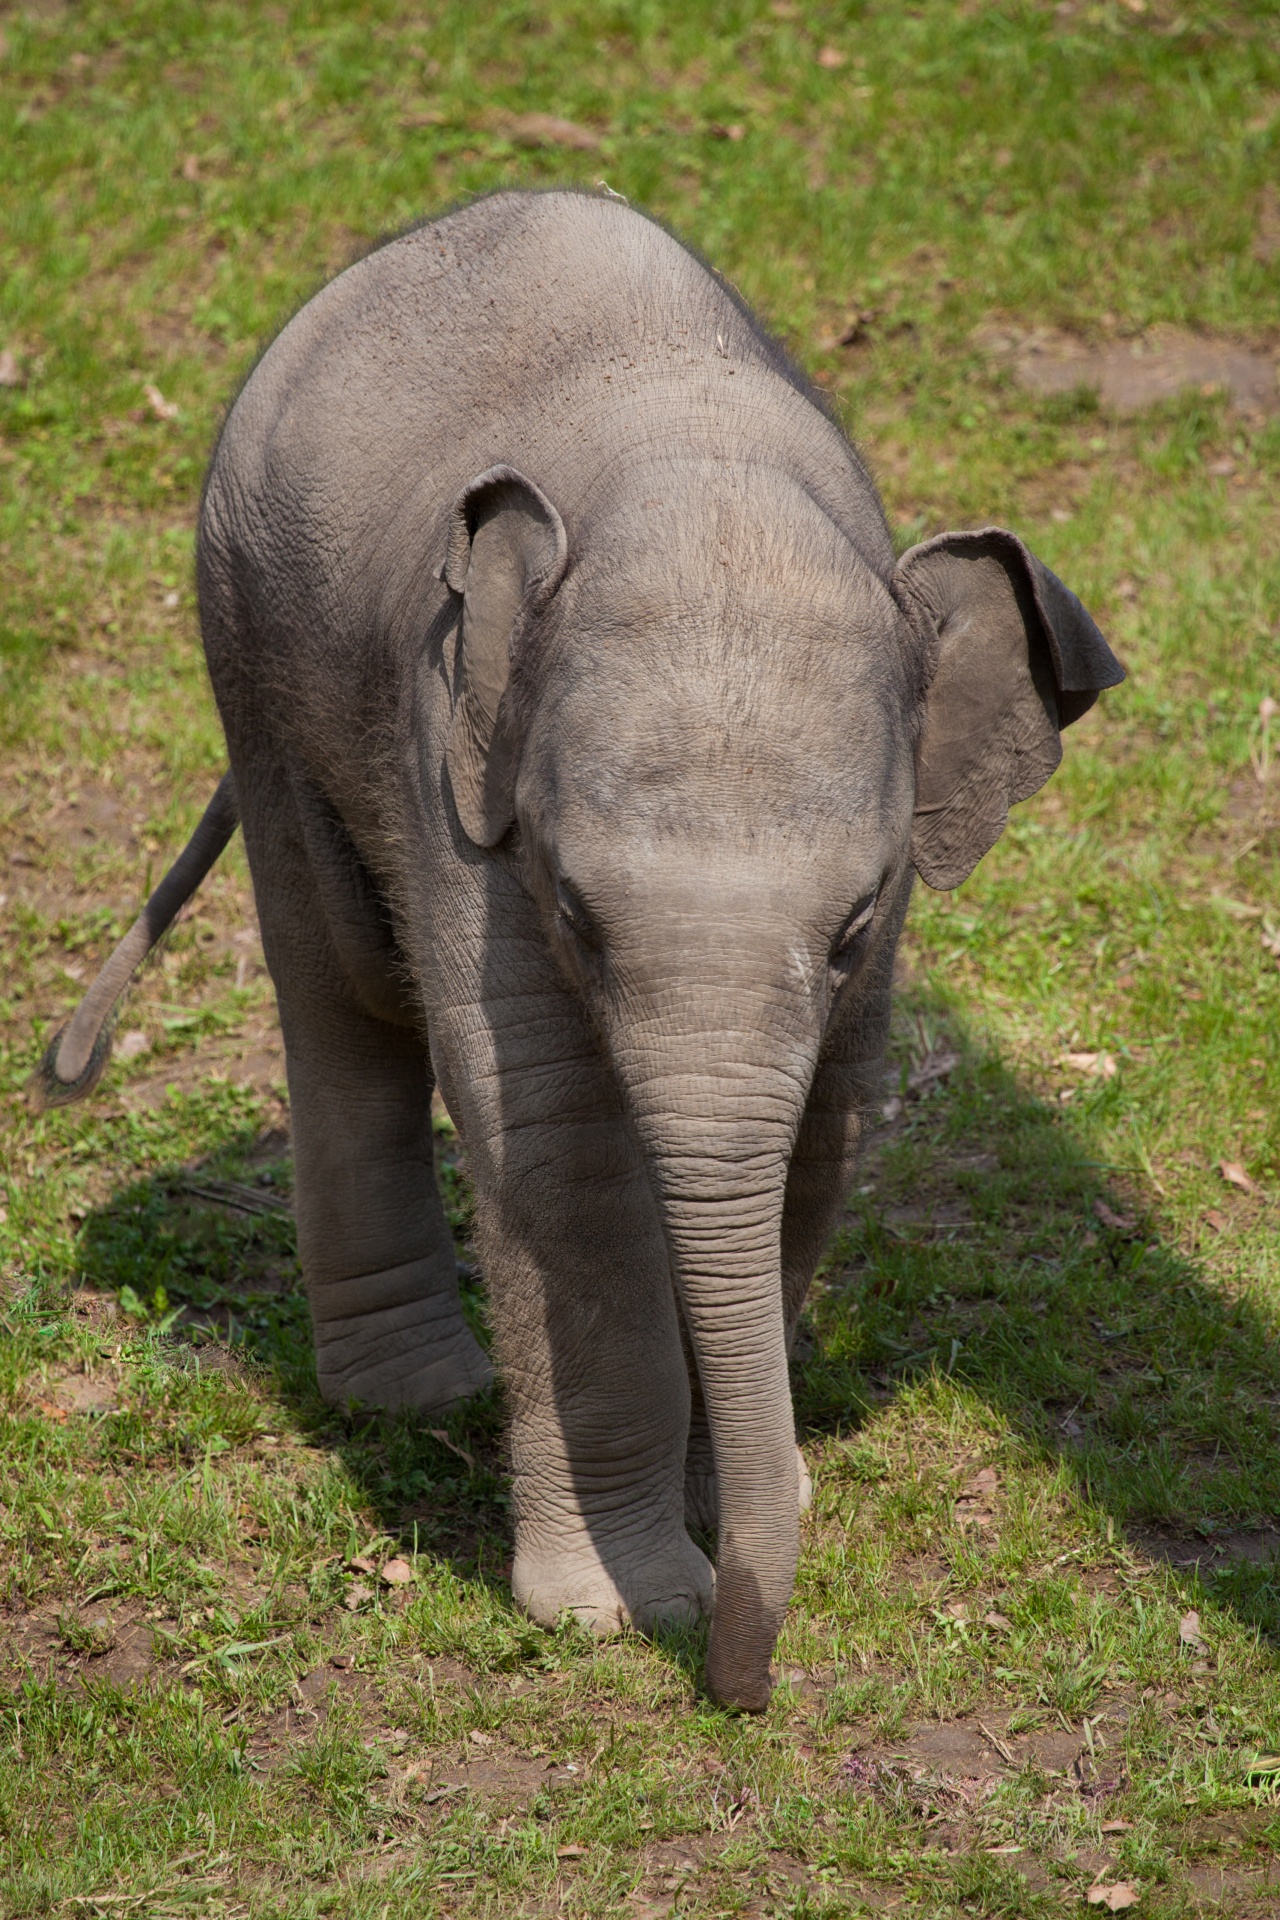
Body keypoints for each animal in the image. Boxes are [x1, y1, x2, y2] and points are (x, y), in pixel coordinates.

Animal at [40, 187, 1120, 1704]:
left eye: (856, 922)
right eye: (573, 910)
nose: (742, 1695)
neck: (700, 473)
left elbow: (823, 1124)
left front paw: (740, 1502)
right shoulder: (460, 768)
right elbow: (555, 1141)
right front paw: (626, 1607)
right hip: (248, 647)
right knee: (345, 998)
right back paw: (418, 1395)